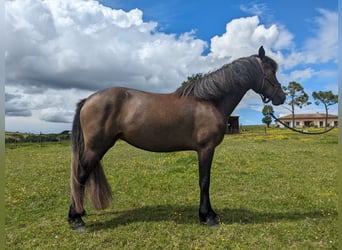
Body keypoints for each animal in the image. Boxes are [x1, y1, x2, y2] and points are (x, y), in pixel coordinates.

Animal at [67, 46, 286, 229]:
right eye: (270, 72)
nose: (281, 97)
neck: (209, 102)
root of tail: (88, 99)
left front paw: (209, 214)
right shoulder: (206, 149)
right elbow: (205, 181)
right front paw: (207, 216)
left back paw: (79, 213)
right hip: (96, 148)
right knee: (80, 175)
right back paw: (76, 219)